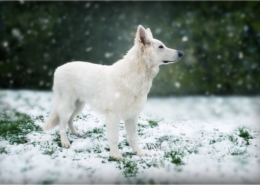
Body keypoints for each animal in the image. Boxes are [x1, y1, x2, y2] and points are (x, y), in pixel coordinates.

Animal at [43, 24, 183, 159]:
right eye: (161, 47)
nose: (181, 53)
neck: (134, 75)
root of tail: (58, 68)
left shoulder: (132, 117)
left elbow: (133, 138)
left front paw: (139, 153)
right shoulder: (113, 116)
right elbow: (114, 138)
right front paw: (116, 156)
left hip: (78, 106)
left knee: (70, 120)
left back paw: (76, 133)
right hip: (68, 106)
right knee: (62, 124)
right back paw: (65, 142)